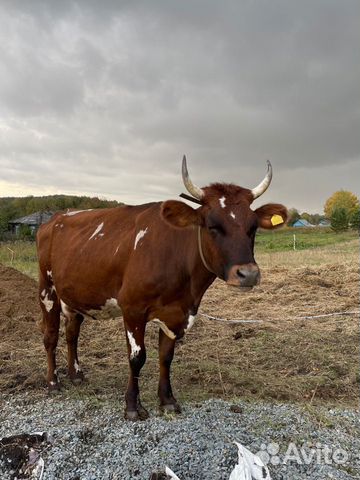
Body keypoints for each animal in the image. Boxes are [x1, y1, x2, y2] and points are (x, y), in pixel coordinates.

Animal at [37, 158, 286, 420]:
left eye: (253, 227)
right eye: (212, 225)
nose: (248, 274)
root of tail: (55, 218)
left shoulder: (177, 313)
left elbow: (166, 356)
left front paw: (167, 400)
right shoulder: (132, 309)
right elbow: (137, 358)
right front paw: (132, 406)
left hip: (73, 295)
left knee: (72, 333)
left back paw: (76, 375)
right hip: (47, 290)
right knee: (50, 336)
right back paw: (53, 382)